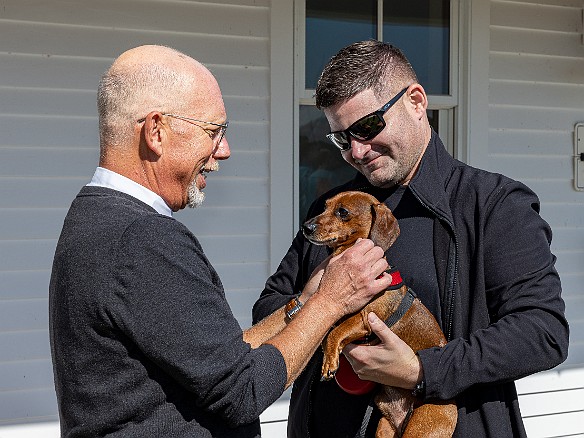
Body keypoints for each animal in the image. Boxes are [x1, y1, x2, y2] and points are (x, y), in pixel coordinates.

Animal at [304, 192, 458, 438]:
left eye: (342, 212)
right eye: (325, 207)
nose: (305, 227)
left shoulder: (365, 319)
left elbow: (333, 333)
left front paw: (329, 361)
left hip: (421, 427)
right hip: (384, 428)